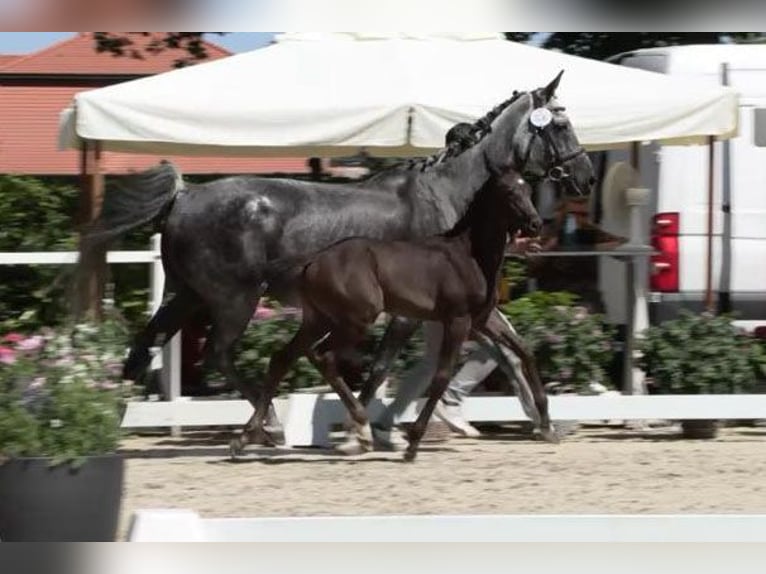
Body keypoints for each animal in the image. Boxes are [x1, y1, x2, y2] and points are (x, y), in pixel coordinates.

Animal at [242, 167, 542, 461]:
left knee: (283, 357)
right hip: (355, 320)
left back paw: (247, 437)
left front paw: (545, 421)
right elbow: (442, 375)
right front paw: (412, 444)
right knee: (323, 356)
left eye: (528, 188)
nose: (536, 224)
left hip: (318, 319)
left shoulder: (481, 319)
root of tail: (313, 259)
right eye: (509, 191)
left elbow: (523, 349)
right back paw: (361, 430)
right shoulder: (458, 320)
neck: (468, 255)